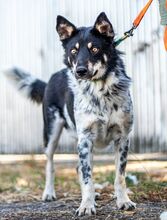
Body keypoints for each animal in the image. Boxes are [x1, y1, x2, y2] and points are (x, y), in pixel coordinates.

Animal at [5, 11, 136, 215]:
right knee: (50, 163)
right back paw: (49, 193)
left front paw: (123, 201)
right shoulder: (86, 139)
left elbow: (119, 176)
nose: (80, 71)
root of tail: (52, 78)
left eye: (95, 49)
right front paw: (86, 205)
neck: (100, 91)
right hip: (52, 133)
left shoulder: (122, 138)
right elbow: (87, 177)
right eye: (73, 51)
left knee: (77, 168)